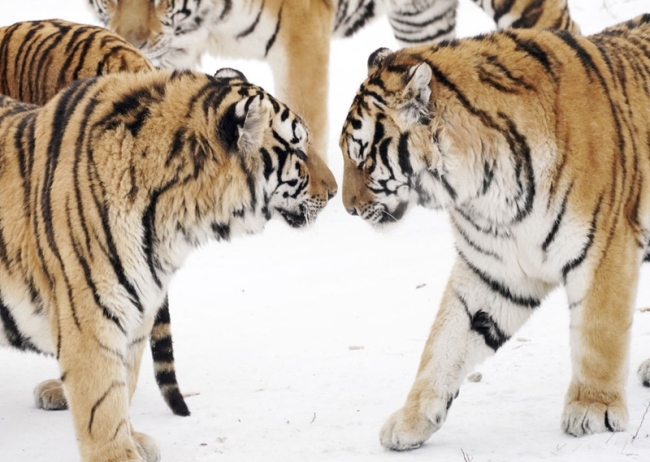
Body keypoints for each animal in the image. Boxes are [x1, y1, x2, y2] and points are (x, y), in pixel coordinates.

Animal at [0, 66, 336, 462]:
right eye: (297, 148)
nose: (334, 191)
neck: (179, 220)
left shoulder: (138, 310)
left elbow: (124, 381)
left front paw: (134, 440)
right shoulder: (90, 315)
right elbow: (102, 399)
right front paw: (117, 454)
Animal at [340, 13, 648, 452]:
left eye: (363, 157)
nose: (346, 208)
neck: (485, 188)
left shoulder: (605, 249)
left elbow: (597, 333)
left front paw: (593, 410)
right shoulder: (494, 271)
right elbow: (444, 344)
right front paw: (411, 421)